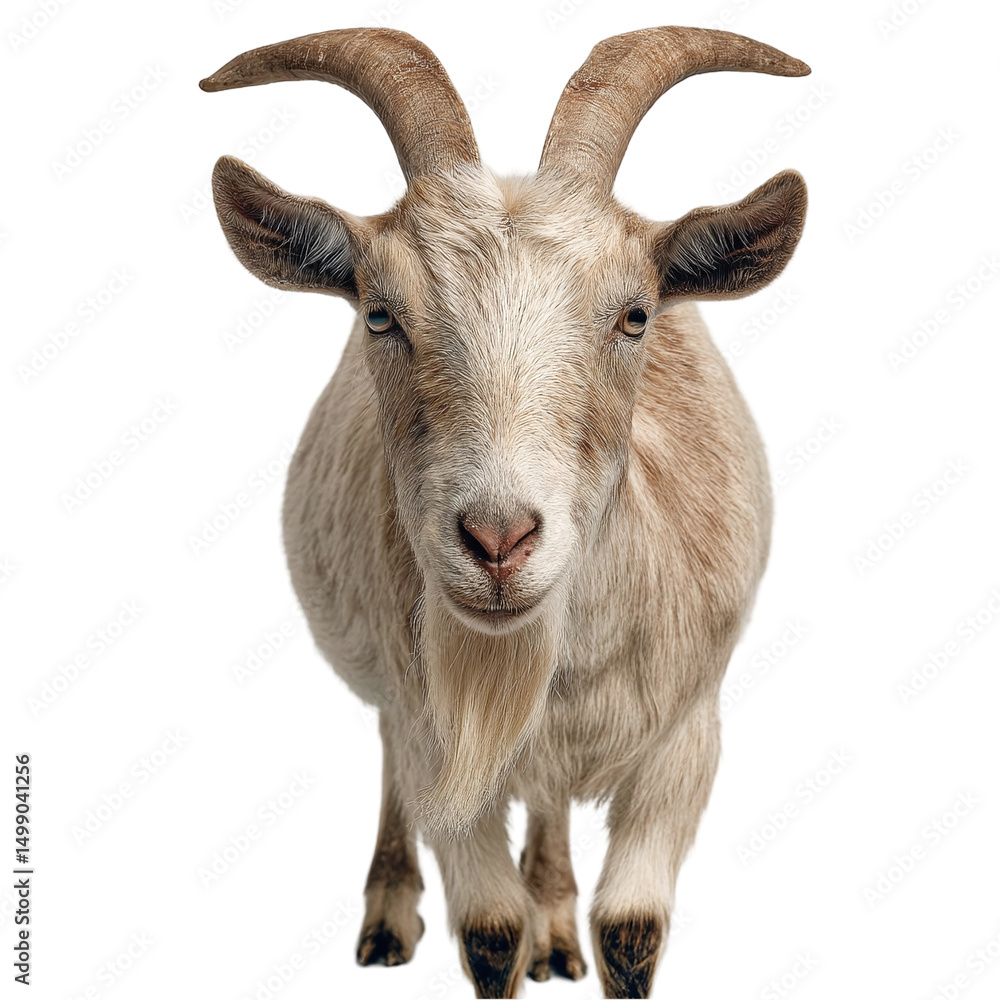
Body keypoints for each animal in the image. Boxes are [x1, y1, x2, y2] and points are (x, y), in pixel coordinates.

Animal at [201, 25, 808, 998]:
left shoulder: (687, 736)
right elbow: (489, 930)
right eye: (380, 315)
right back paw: (388, 917)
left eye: (635, 315)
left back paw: (556, 928)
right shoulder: (436, 733)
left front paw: (569, 929)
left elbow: (631, 930)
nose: (497, 539)